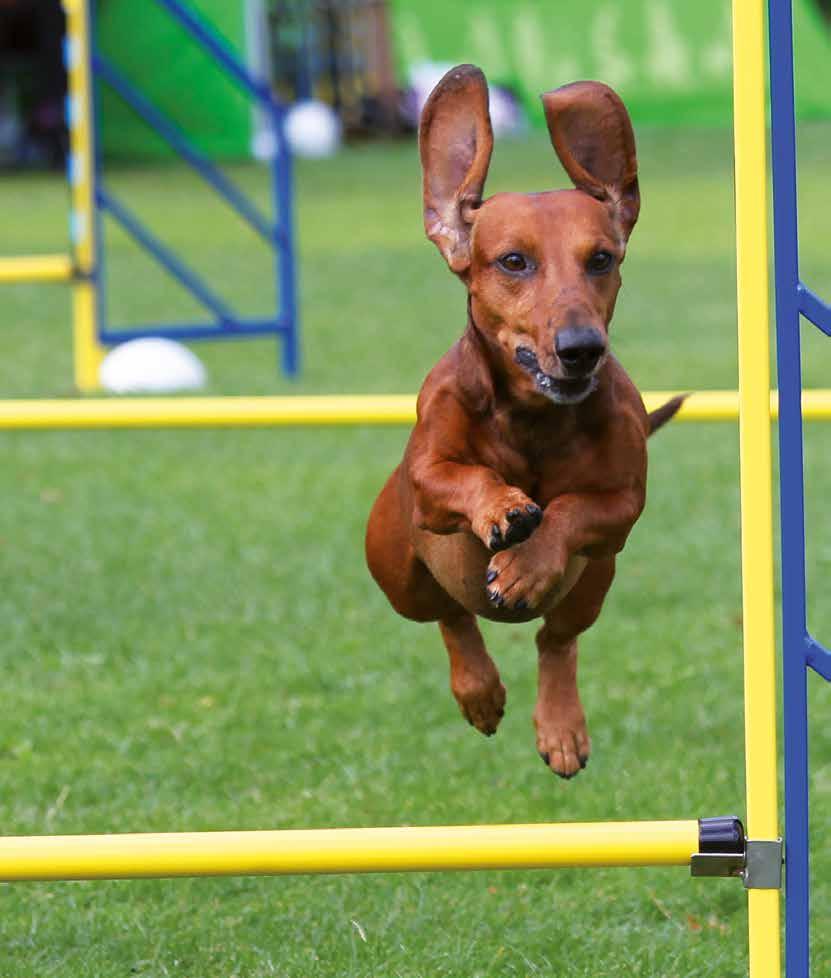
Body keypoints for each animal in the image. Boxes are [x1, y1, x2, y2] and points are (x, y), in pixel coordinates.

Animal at [366, 65, 684, 776]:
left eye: (602, 258)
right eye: (513, 261)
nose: (581, 348)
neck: (535, 420)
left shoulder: (625, 504)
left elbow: (574, 510)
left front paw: (528, 561)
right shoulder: (427, 479)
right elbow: (461, 477)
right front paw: (505, 509)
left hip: (596, 581)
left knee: (555, 642)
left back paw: (560, 726)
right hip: (396, 570)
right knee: (449, 617)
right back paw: (478, 690)